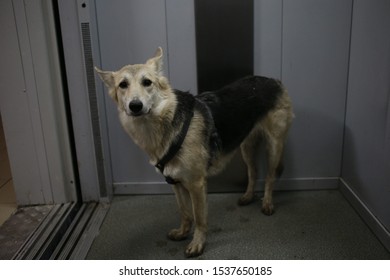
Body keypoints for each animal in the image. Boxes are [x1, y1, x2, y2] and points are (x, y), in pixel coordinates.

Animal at [96, 47, 294, 258]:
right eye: (123, 85)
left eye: (147, 82)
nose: (135, 106)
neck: (163, 124)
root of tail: (273, 80)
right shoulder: (175, 182)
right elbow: (185, 213)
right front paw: (183, 233)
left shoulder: (196, 184)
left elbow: (199, 218)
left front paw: (198, 244)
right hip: (246, 147)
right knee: (253, 171)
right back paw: (248, 196)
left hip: (274, 146)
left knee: (270, 176)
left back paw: (267, 203)